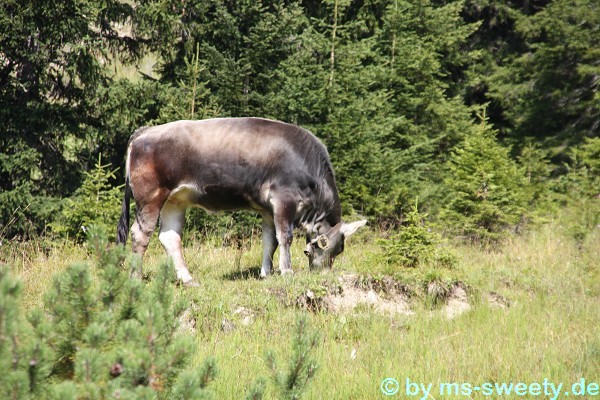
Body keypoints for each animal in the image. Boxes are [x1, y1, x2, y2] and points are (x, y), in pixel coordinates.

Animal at [116, 117, 367, 286]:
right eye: (330, 249)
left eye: (339, 252)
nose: (323, 273)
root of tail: (147, 130)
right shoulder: (284, 199)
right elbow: (285, 238)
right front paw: (287, 272)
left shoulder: (267, 209)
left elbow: (269, 241)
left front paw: (266, 273)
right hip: (151, 197)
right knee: (140, 234)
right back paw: (136, 277)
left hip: (175, 200)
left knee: (169, 238)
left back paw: (188, 279)